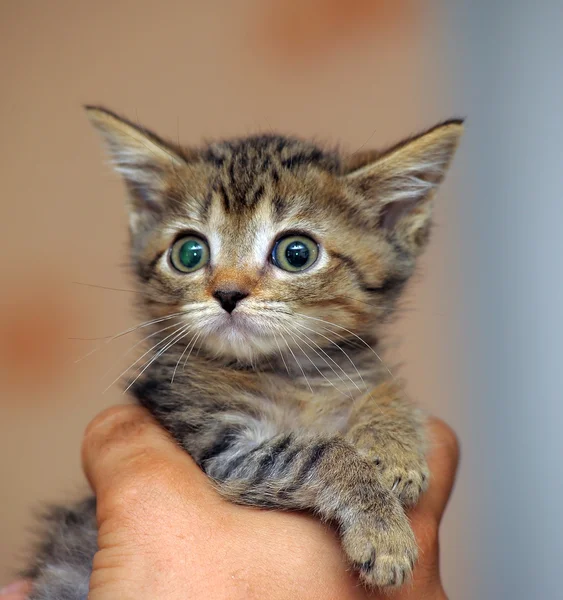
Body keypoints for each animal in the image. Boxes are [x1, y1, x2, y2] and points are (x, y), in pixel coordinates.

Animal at [24, 109, 462, 600]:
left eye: (296, 253)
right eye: (189, 252)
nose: (228, 293)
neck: (288, 373)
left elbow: (381, 387)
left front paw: (395, 448)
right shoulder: (220, 449)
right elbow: (320, 452)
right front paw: (382, 532)